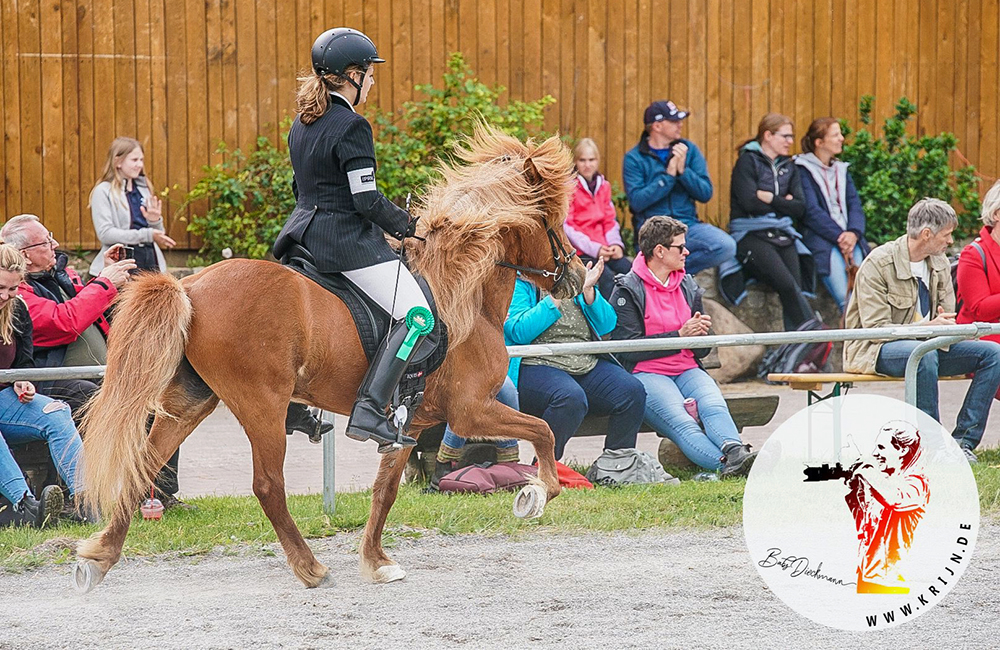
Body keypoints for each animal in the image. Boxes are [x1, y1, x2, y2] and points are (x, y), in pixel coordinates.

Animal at [74, 124, 584, 588]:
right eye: (553, 219)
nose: (577, 275)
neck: (464, 293)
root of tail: (191, 286)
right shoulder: (470, 409)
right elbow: (542, 430)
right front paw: (537, 493)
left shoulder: (410, 422)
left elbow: (384, 492)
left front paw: (377, 561)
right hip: (261, 403)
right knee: (267, 485)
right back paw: (309, 567)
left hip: (191, 401)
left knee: (142, 467)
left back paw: (99, 557)